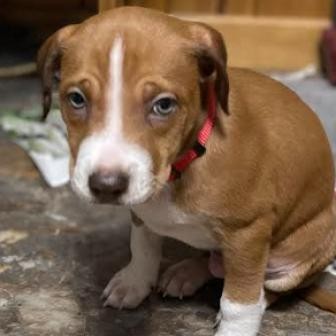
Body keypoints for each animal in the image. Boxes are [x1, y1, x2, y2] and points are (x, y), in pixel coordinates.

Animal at [37, 7, 336, 336]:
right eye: (76, 98)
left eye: (164, 105)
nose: (106, 185)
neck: (181, 166)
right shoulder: (141, 212)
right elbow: (142, 247)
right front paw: (134, 283)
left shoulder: (249, 233)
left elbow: (240, 300)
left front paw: (234, 329)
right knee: (213, 263)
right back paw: (187, 272)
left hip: (304, 253)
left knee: (270, 291)